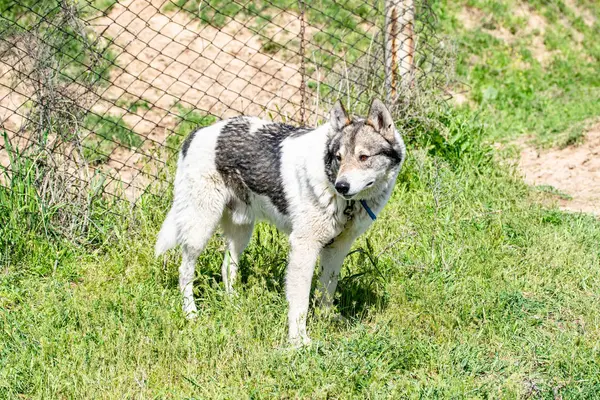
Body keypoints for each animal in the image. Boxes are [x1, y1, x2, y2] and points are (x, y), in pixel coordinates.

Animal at [155, 98, 408, 346]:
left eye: (363, 157)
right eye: (339, 158)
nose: (341, 186)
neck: (345, 202)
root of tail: (197, 132)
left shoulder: (337, 248)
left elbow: (327, 289)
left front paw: (326, 319)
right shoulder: (304, 247)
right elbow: (300, 302)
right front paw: (299, 341)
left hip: (241, 232)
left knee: (227, 268)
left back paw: (234, 303)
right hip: (200, 229)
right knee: (185, 271)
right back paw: (191, 313)